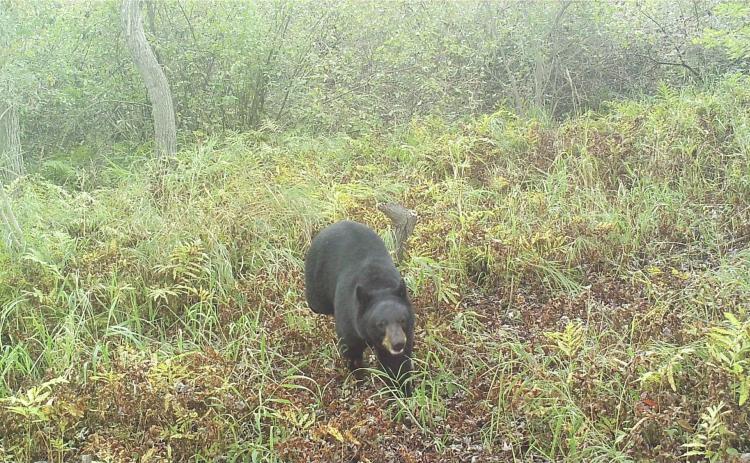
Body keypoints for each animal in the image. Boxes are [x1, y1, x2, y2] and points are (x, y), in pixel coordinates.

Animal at [305, 220, 415, 396]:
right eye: (381, 324)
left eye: (402, 320)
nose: (398, 343)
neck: (377, 285)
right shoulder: (349, 320)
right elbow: (351, 351)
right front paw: (359, 378)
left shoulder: (406, 333)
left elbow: (396, 363)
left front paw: (402, 391)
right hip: (316, 283)